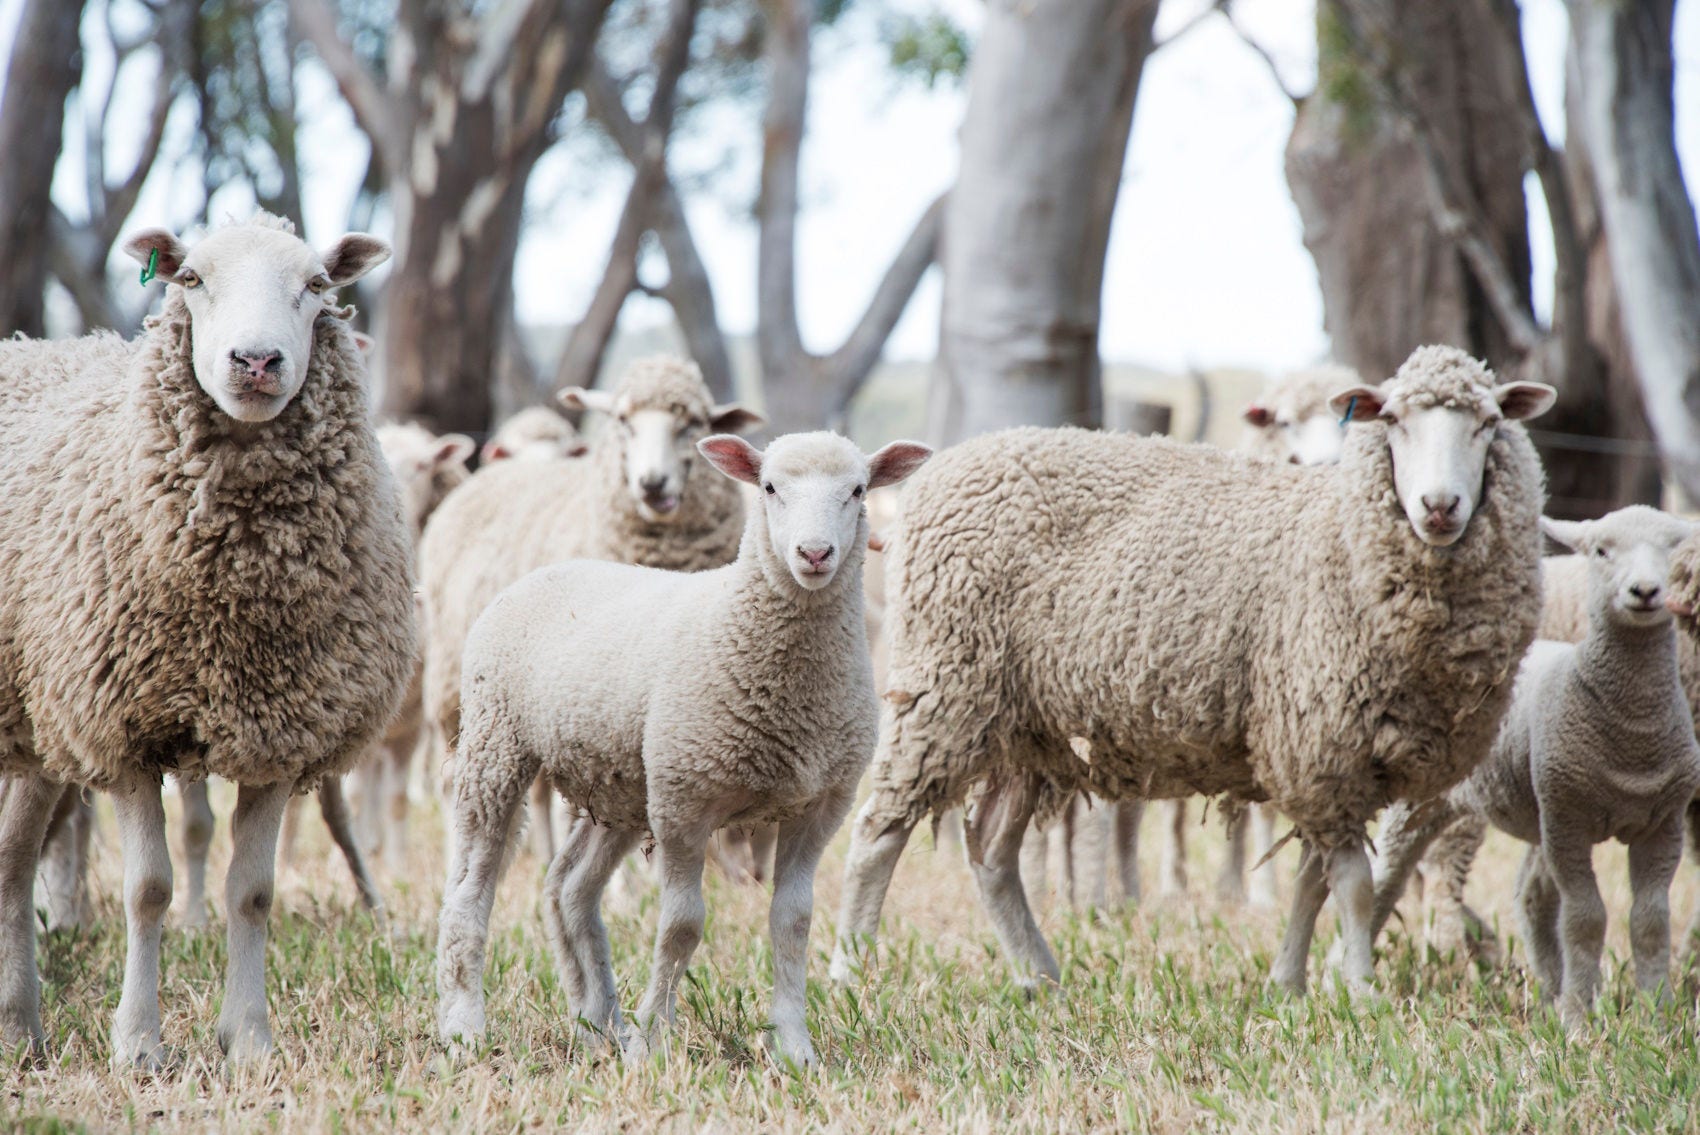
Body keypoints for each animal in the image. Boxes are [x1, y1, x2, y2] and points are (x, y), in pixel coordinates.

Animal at [0, 214, 413, 1067]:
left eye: (316, 285)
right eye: (190, 279)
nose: (256, 360)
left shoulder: (280, 733)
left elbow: (250, 893)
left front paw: (248, 1038)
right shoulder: (122, 725)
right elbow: (148, 889)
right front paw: (138, 1045)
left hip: (39, 723)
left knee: (12, 861)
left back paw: (21, 1027)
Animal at [414, 358, 761, 856]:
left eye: (692, 423)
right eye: (622, 420)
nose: (652, 484)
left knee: (538, 792)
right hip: (456, 690)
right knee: (453, 785)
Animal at [435, 429, 931, 1067]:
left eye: (858, 490)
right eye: (770, 488)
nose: (816, 554)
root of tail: (548, 570)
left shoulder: (819, 806)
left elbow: (793, 922)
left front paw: (794, 1048)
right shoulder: (683, 802)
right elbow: (682, 925)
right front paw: (653, 1042)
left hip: (619, 782)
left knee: (569, 887)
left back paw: (596, 1024)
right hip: (496, 742)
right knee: (470, 886)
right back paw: (465, 1024)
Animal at [829, 343, 1557, 992]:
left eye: (1487, 423)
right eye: (1396, 422)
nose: (1439, 506)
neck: (1340, 534)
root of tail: (942, 469)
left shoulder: (1326, 758)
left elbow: (1316, 880)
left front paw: (1289, 984)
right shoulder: (1316, 742)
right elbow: (1351, 886)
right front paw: (1358, 991)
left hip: (1024, 724)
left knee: (990, 848)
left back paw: (1038, 976)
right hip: (943, 686)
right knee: (876, 833)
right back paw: (848, 973)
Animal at [1366, 509, 1700, 1026]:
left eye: (1672, 551)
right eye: (1601, 551)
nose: (1645, 591)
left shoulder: (1663, 824)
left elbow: (1649, 921)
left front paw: (1656, 1015)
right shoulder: (1568, 822)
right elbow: (1584, 919)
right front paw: (1580, 1022)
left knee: (1529, 896)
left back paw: (1547, 992)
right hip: (1428, 804)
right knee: (1390, 880)